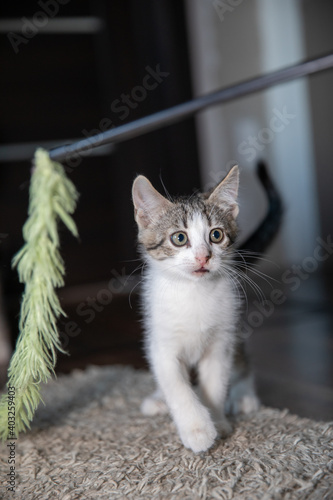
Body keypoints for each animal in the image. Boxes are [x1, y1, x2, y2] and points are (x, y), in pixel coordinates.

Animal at [131, 167, 258, 454]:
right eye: (179, 238)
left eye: (216, 235)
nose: (203, 257)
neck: (193, 292)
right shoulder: (162, 344)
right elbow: (177, 387)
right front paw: (198, 429)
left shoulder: (221, 341)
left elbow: (215, 383)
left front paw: (218, 421)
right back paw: (158, 399)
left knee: (242, 363)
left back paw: (244, 395)